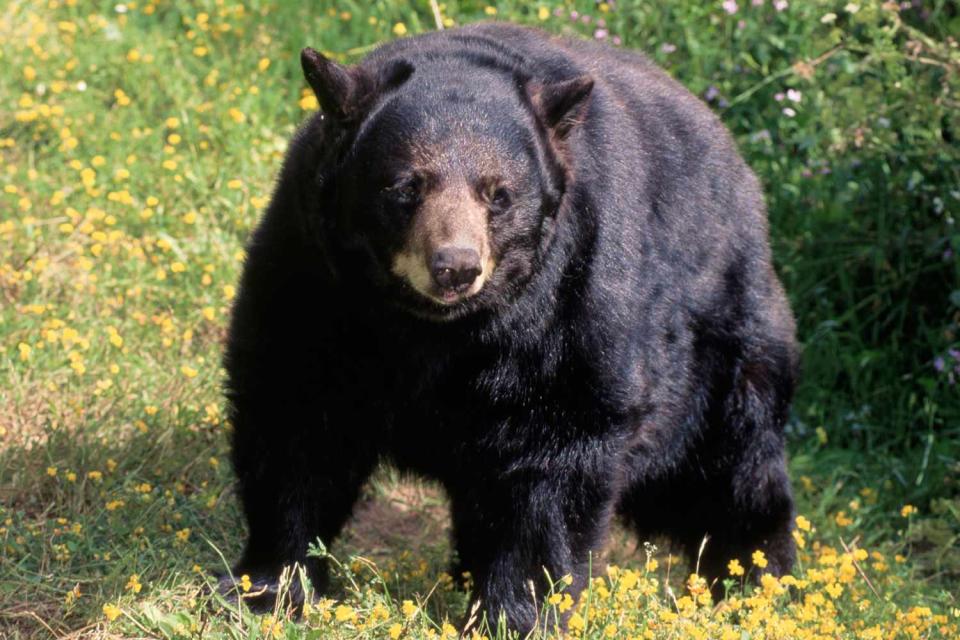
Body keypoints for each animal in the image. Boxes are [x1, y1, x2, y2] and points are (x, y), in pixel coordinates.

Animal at [221, 22, 800, 632]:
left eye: (498, 193)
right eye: (406, 186)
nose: (455, 265)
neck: (433, 331)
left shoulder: (570, 302)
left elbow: (555, 456)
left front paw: (514, 615)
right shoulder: (314, 278)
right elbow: (297, 414)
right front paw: (269, 586)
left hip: (719, 346)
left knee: (731, 465)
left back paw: (755, 586)